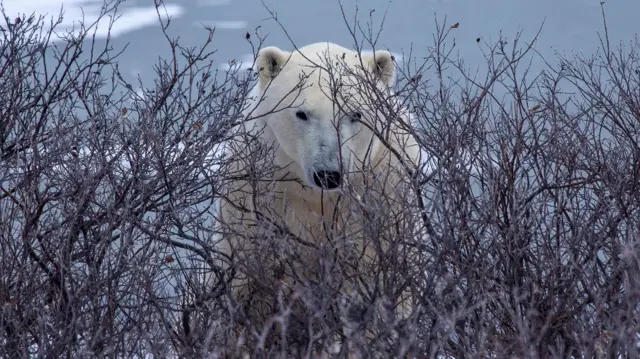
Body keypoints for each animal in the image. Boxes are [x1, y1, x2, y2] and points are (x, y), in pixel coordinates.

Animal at [218, 41, 422, 358]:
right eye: (302, 113)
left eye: (356, 113)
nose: (328, 174)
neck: (317, 197)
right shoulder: (257, 198)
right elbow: (250, 280)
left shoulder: (384, 193)